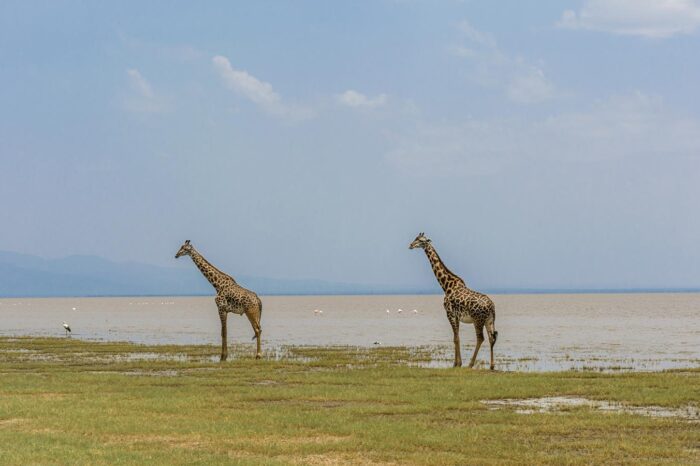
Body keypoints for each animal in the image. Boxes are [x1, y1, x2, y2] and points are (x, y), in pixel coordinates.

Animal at [409, 233, 498, 370]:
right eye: (415, 238)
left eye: (421, 240)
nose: (411, 245)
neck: (446, 285)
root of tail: (491, 306)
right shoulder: (457, 316)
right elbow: (457, 337)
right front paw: (457, 363)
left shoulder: (449, 313)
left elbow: (455, 338)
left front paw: (456, 364)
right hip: (489, 320)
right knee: (491, 338)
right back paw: (492, 366)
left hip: (478, 320)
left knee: (480, 338)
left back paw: (470, 364)